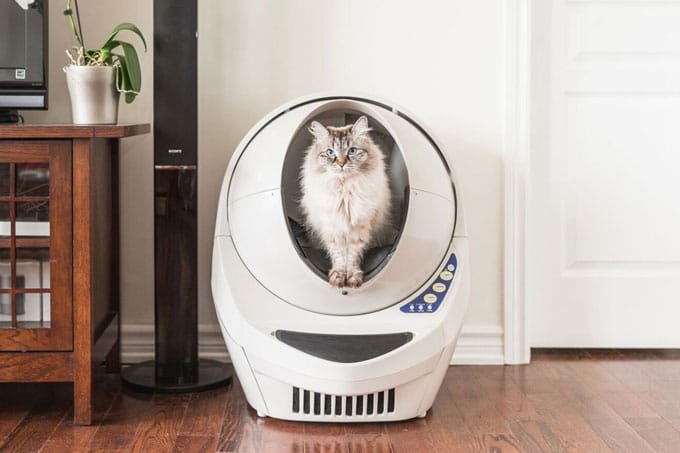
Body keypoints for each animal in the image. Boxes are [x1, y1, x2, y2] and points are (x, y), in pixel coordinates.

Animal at [300, 115, 390, 286]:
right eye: (330, 152)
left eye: (352, 151)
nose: (341, 163)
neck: (344, 189)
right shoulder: (333, 229)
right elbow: (340, 258)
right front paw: (338, 278)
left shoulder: (359, 229)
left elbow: (352, 258)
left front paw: (353, 278)